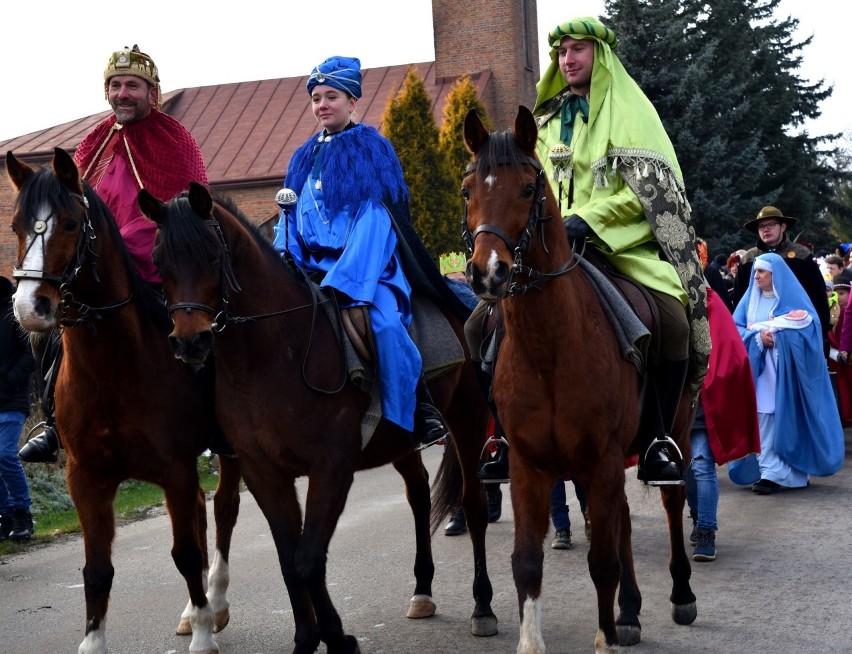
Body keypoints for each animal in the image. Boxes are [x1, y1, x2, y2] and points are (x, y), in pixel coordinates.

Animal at [5, 149, 240, 654]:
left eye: (71, 224)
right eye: (15, 225)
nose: (31, 307)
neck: (111, 368)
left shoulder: (174, 467)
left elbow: (186, 552)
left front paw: (203, 635)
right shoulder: (85, 478)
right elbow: (97, 570)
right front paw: (93, 643)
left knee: (223, 511)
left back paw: (214, 604)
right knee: (201, 511)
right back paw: (194, 611)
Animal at [138, 181, 500, 654]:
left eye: (212, 254)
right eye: (158, 260)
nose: (189, 342)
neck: (271, 356)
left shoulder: (331, 467)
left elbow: (309, 558)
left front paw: (337, 638)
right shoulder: (264, 473)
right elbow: (290, 560)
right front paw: (308, 638)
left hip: (469, 420)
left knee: (474, 504)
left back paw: (483, 607)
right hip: (399, 439)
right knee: (419, 494)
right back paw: (422, 592)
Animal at [460, 109, 692, 654]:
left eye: (529, 188)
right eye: (466, 190)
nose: (487, 273)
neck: (550, 351)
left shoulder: (603, 460)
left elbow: (602, 562)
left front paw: (604, 636)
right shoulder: (529, 466)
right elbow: (527, 561)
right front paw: (533, 641)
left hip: (673, 430)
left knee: (671, 502)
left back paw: (680, 596)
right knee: (623, 518)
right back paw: (629, 612)